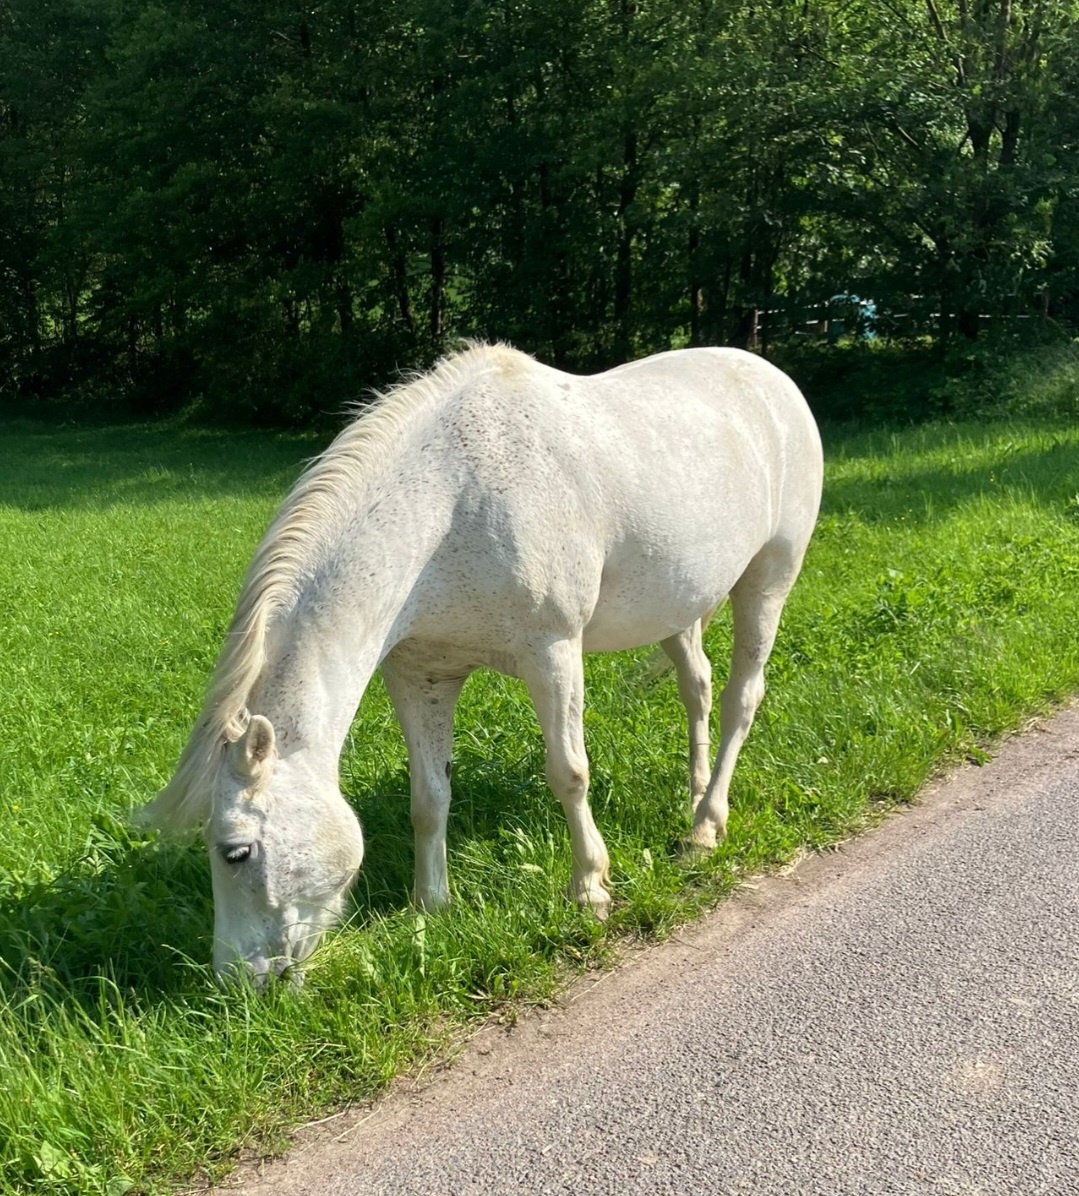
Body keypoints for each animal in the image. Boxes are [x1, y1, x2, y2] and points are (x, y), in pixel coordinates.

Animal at [138, 344, 823, 985]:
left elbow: (569, 773)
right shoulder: (421, 675)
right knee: (697, 688)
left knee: (740, 699)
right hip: (679, 606)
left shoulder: (552, 652)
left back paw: (705, 829)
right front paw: (430, 909)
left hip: (768, 581)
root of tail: (773, 378)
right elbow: (429, 795)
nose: (237, 982)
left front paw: (590, 891)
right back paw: (695, 794)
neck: (453, 499)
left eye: (235, 852)